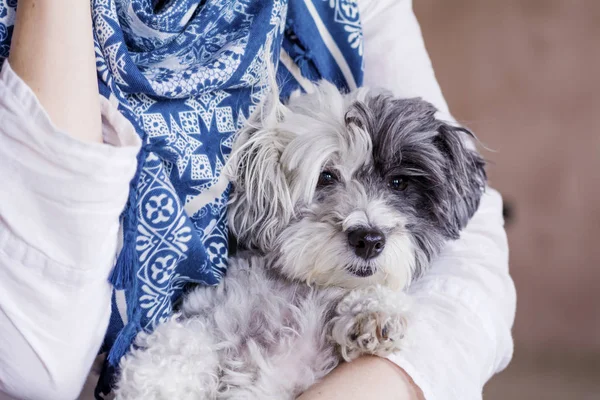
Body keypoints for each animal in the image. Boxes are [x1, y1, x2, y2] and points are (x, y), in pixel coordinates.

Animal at [113, 82, 488, 400]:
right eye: (326, 176)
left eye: (398, 183)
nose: (368, 238)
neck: (300, 294)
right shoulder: (213, 313)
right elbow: (180, 343)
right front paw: (156, 384)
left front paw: (374, 311)